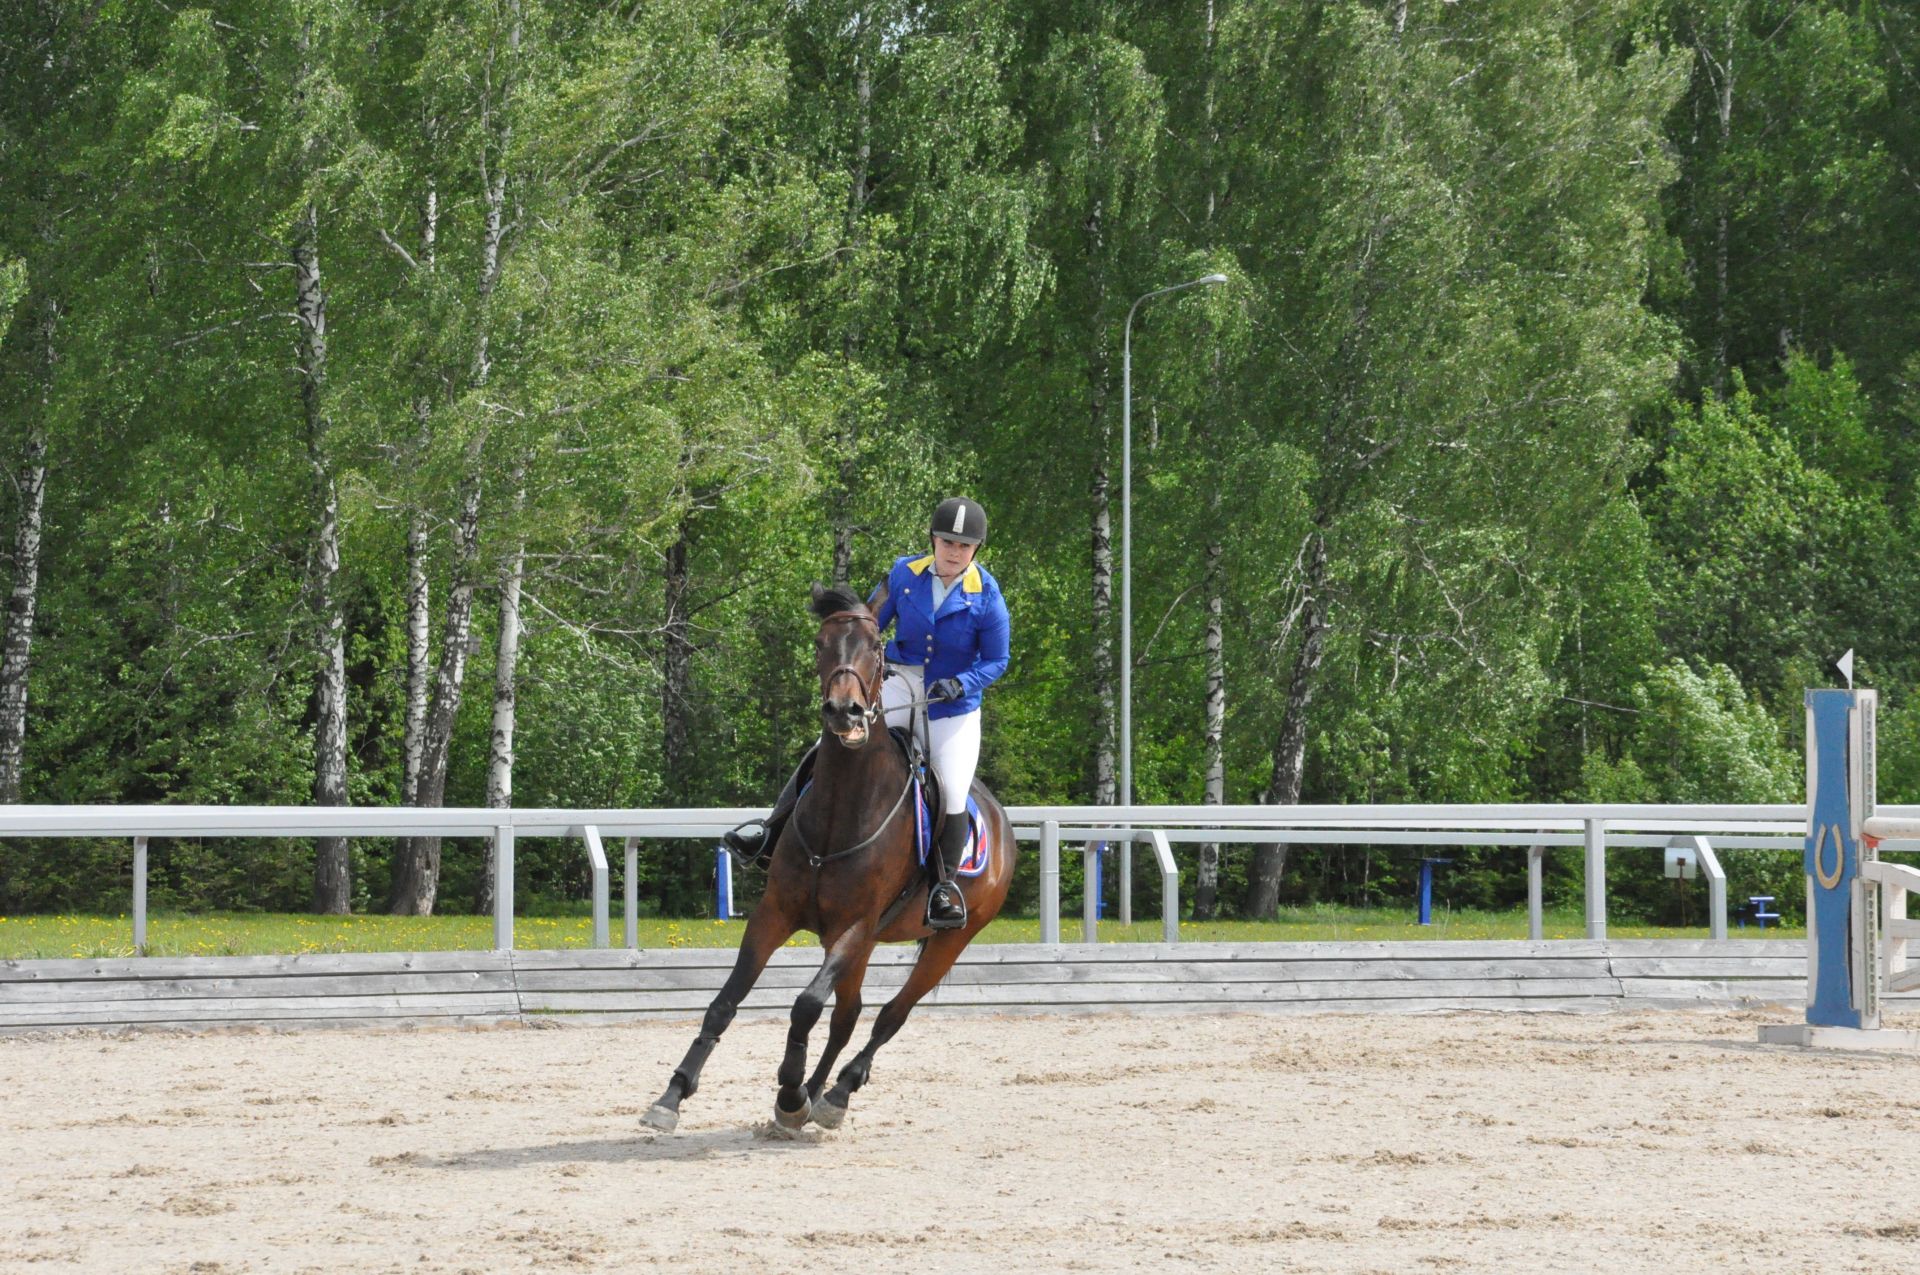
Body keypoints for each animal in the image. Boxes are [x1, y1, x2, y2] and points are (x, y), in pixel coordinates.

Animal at [641, 583, 1021, 1129]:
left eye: (876, 645)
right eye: (821, 644)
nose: (846, 712)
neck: (845, 808)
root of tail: (1001, 822)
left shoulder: (855, 926)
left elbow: (805, 1005)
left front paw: (788, 1088)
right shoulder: (776, 914)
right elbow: (727, 1001)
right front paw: (673, 1094)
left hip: (949, 940)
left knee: (889, 1015)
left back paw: (836, 1092)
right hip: (866, 945)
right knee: (848, 1015)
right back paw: (814, 1095)